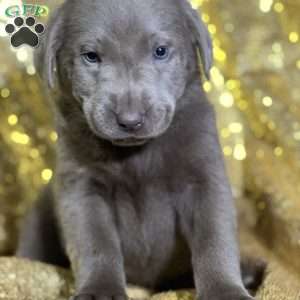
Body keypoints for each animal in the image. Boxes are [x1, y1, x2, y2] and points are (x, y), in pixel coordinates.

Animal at [18, 0, 258, 300]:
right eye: (91, 56)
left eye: (160, 51)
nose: (130, 120)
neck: (138, 157)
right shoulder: (81, 189)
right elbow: (96, 242)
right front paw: (99, 290)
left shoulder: (205, 178)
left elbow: (214, 238)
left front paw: (225, 290)